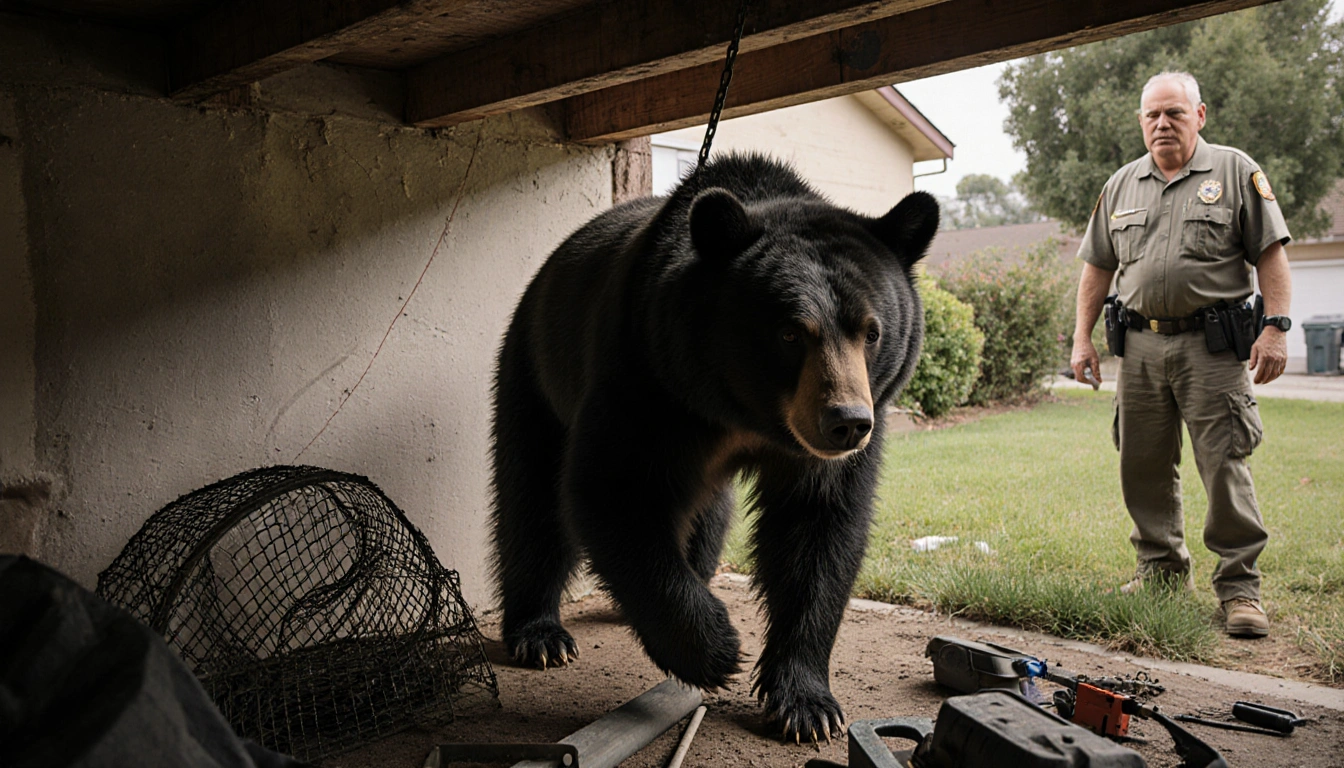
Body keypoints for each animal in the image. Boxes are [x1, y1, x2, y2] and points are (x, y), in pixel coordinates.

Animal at [490, 153, 938, 743]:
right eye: (791, 333)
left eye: (871, 331)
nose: (846, 424)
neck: (744, 414)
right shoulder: (648, 375)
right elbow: (611, 489)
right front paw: (714, 650)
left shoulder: (818, 453)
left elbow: (818, 526)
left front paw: (808, 706)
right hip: (536, 366)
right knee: (532, 495)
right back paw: (539, 634)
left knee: (706, 515)